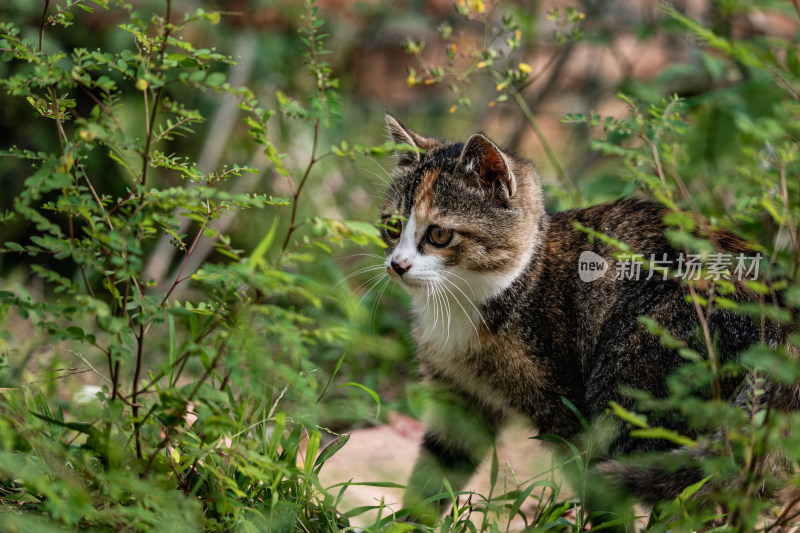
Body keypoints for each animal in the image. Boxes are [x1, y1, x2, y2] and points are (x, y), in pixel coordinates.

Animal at [376, 114, 792, 524]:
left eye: (439, 234)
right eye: (393, 227)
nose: (398, 265)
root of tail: (783, 313)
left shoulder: (568, 414)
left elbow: (603, 498)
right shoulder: (458, 402)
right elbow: (431, 481)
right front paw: (406, 526)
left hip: (636, 385)